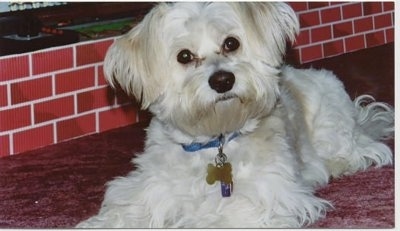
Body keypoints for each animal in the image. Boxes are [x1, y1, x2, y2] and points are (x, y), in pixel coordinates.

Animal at [76, 1, 394, 228]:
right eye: (184, 56)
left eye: (231, 43)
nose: (222, 80)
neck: (215, 141)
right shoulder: (149, 189)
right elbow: (125, 211)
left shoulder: (264, 198)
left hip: (332, 127)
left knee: (358, 150)